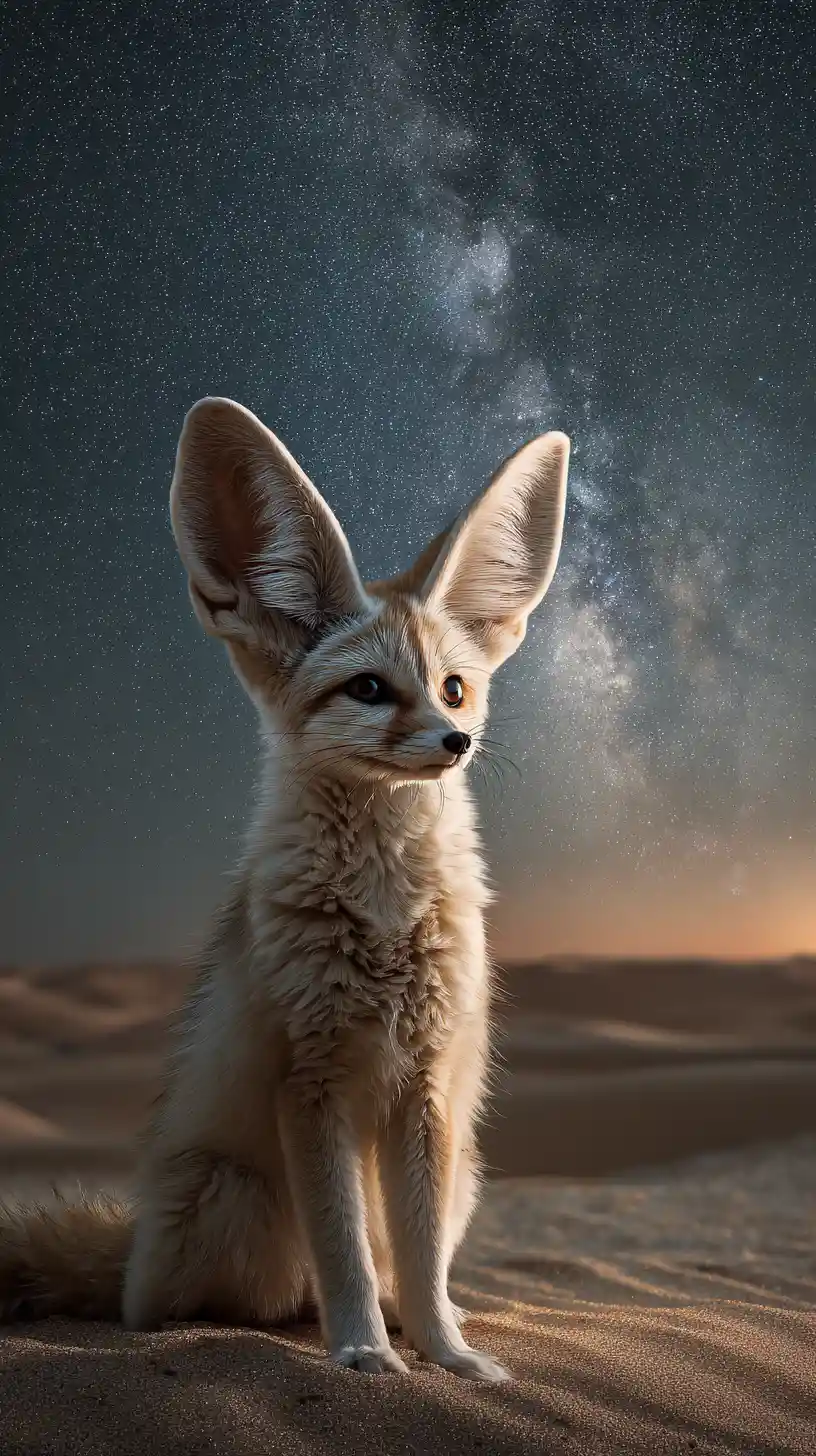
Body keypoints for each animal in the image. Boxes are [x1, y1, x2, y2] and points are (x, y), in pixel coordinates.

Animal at [0, 398, 569, 1381]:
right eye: (369, 689)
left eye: (455, 688)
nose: (456, 741)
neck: (384, 911)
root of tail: (133, 1255)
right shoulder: (310, 1083)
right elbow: (342, 1247)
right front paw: (366, 1356)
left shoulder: (424, 1088)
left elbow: (420, 1259)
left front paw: (448, 1357)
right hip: (236, 1196)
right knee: (212, 1305)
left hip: (465, 1167)